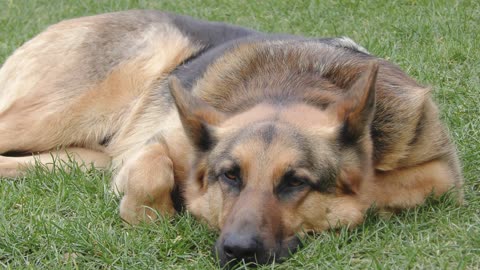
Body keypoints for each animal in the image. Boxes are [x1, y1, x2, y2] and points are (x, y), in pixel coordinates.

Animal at [0, 10, 464, 266]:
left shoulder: (438, 171)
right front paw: (154, 213)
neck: (296, 86)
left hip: (74, 155)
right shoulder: (164, 142)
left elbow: (391, 187)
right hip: (58, 111)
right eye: (230, 177)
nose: (238, 250)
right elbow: (151, 174)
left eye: (295, 183)